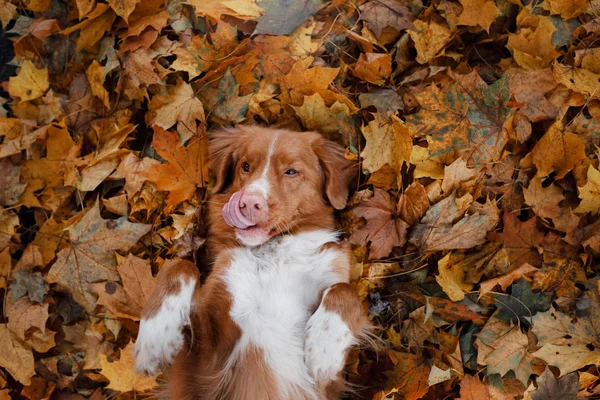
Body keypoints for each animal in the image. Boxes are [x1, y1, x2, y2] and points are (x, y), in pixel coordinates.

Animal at [135, 126, 370, 400]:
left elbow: (345, 289)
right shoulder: (202, 365)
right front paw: (155, 337)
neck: (274, 255)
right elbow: (180, 265)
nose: (247, 202)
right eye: (246, 166)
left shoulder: (328, 385)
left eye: (291, 171)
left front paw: (324, 347)